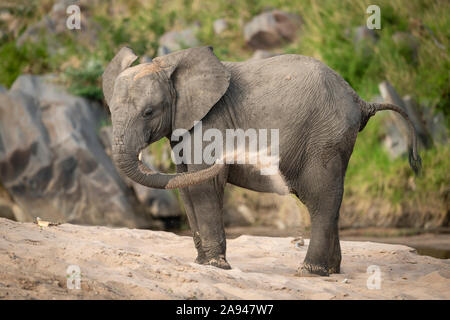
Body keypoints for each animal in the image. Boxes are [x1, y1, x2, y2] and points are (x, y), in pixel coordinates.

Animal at [101, 46, 418, 276]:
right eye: (111, 112)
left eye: (148, 112)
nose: (235, 154)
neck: (167, 63)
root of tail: (360, 100)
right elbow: (185, 182)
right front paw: (202, 264)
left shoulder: (210, 122)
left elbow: (205, 183)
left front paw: (216, 267)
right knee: (331, 199)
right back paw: (331, 270)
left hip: (325, 137)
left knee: (321, 197)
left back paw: (309, 271)